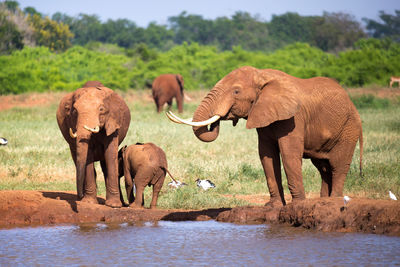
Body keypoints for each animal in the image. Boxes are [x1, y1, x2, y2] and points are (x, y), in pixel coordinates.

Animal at [167, 66, 364, 208]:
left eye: (236, 92)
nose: (221, 117)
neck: (262, 75)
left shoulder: (294, 118)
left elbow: (289, 154)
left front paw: (298, 205)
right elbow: (266, 155)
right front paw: (273, 206)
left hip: (349, 128)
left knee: (338, 165)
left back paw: (334, 200)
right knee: (323, 167)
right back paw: (324, 201)